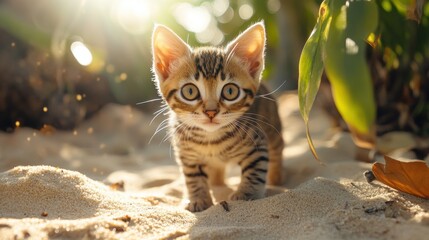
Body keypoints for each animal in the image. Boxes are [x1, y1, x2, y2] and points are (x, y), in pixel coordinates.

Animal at [152, 22, 282, 212]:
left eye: (230, 91)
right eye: (190, 91)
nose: (211, 112)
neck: (211, 140)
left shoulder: (257, 143)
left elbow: (255, 170)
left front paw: (246, 195)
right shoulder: (187, 154)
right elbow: (193, 177)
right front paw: (198, 199)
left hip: (273, 129)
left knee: (277, 152)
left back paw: (276, 179)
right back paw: (216, 184)